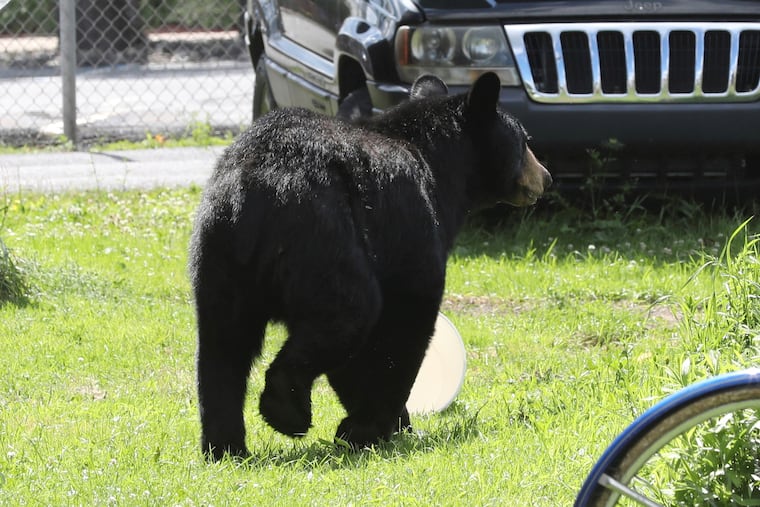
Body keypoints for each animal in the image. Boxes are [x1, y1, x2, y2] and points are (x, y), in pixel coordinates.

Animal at [188, 72, 552, 461]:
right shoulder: (410, 227)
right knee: (350, 310)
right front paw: (371, 427)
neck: (441, 170)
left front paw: (386, 423)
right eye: (525, 141)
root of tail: (257, 182)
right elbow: (399, 328)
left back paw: (226, 446)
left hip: (219, 253)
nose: (545, 176)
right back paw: (287, 411)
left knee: (222, 345)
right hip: (323, 236)